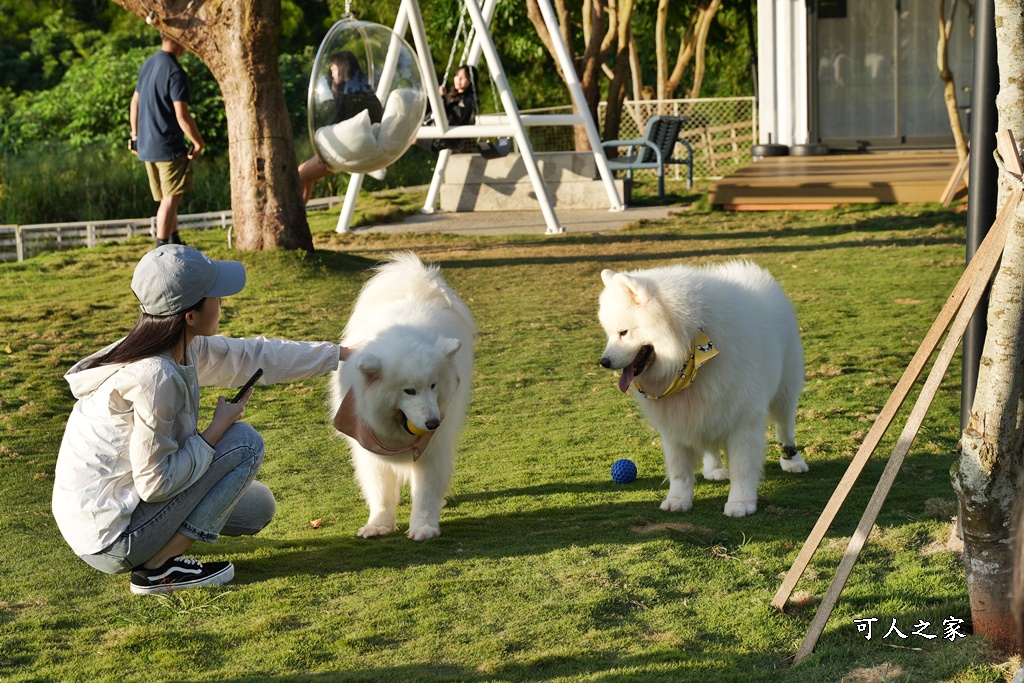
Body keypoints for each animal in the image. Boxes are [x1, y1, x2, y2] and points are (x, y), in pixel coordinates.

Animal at [331, 253, 475, 540]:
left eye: (433, 386)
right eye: (409, 390)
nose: (433, 423)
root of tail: (417, 285)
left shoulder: (433, 447)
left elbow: (426, 491)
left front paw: (424, 526)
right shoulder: (370, 453)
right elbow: (381, 493)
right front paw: (378, 525)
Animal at [598, 262, 806, 518]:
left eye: (624, 332)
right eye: (609, 334)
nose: (604, 362)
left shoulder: (742, 418)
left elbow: (743, 467)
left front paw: (740, 502)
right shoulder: (678, 422)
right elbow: (679, 470)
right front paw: (678, 499)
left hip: (784, 392)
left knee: (785, 427)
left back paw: (793, 461)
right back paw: (714, 468)